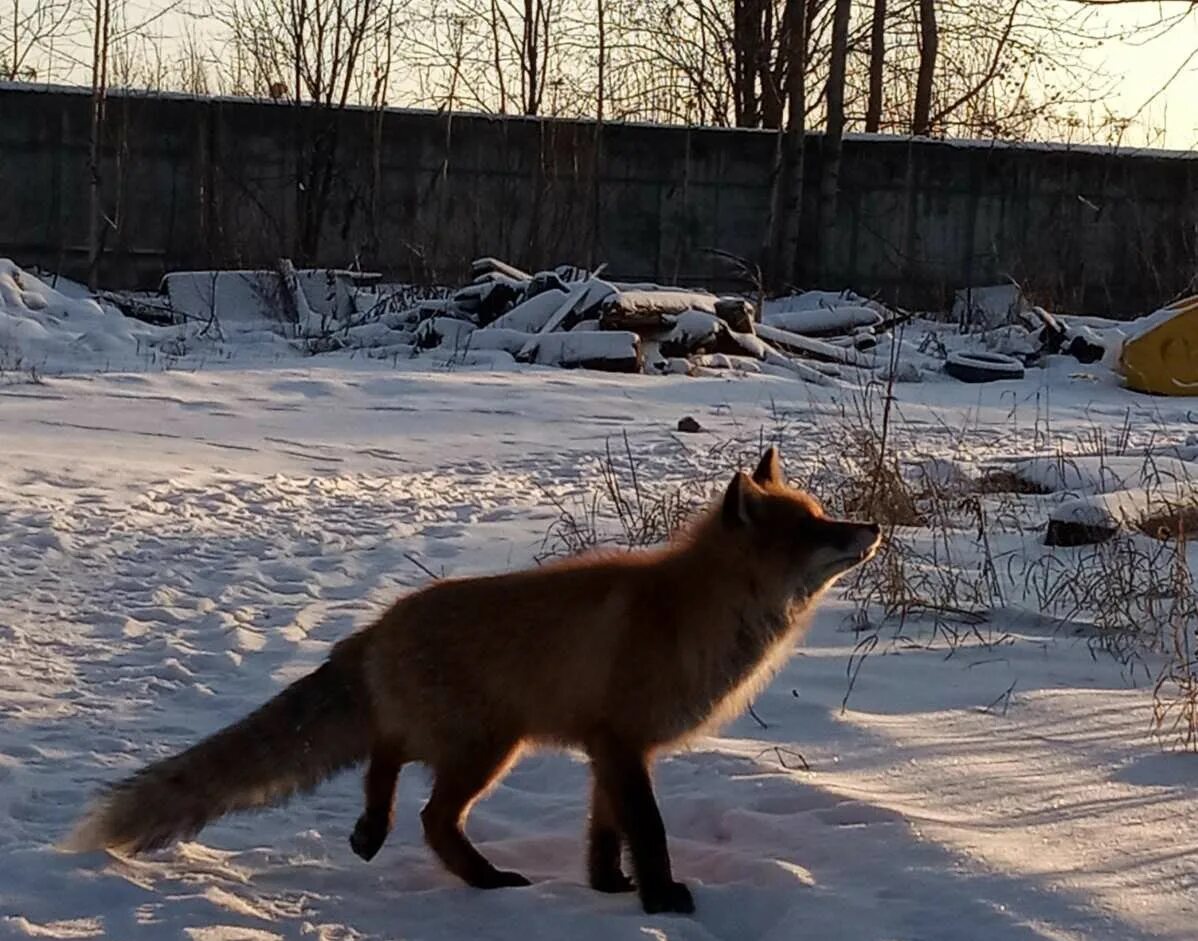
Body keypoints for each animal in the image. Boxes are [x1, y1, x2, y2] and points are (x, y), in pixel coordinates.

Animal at [63, 443, 881, 915]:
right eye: (812, 528)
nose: (872, 528)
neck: (691, 612)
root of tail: (376, 626)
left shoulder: (608, 748)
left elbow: (604, 830)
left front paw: (608, 888)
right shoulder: (621, 742)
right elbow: (645, 828)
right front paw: (661, 900)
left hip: (469, 740)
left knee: (387, 756)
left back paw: (373, 830)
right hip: (489, 746)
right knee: (426, 810)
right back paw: (481, 879)